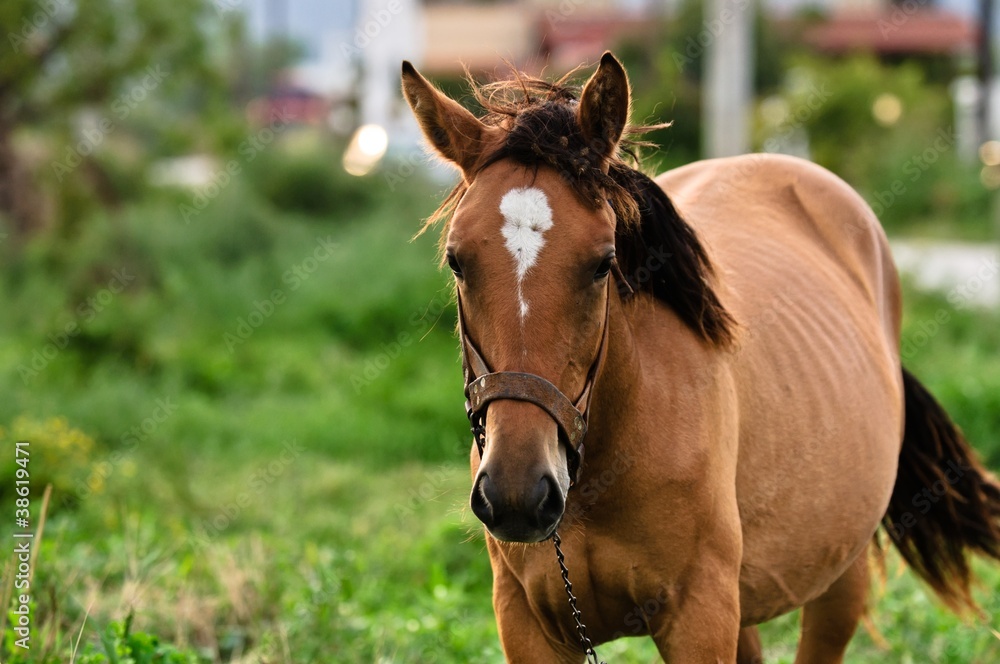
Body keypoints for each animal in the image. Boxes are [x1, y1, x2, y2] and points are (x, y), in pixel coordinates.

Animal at [398, 53, 1000, 664]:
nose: (519, 493)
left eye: (603, 263)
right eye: (457, 262)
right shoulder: (526, 624)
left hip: (839, 578)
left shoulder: (699, 616)